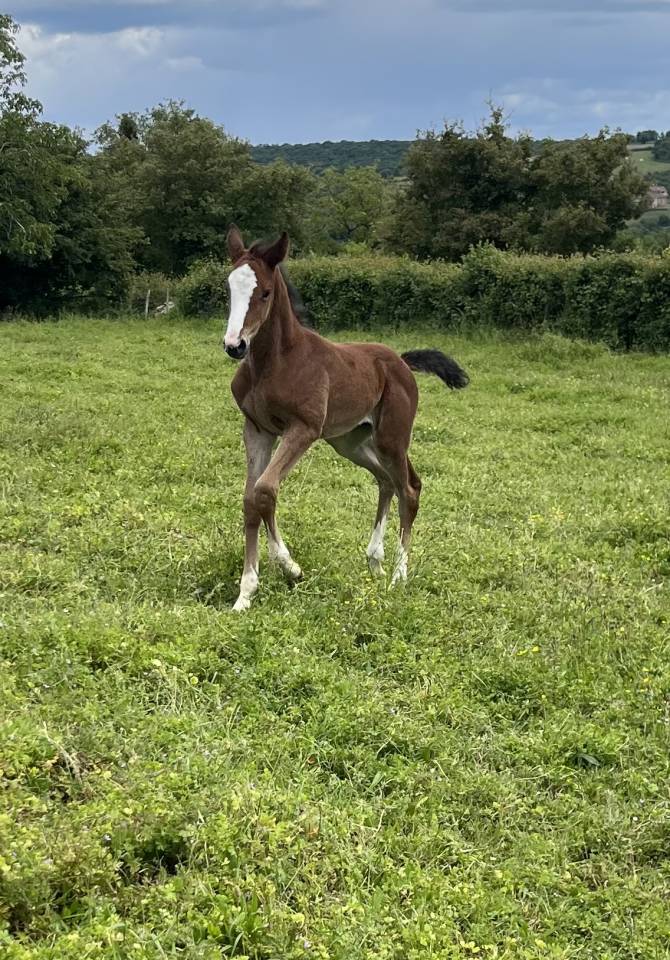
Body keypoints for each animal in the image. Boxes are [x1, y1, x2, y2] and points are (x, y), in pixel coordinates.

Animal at [223, 225, 469, 611]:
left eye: (264, 293)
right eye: (229, 289)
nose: (235, 345)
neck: (275, 361)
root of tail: (401, 361)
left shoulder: (303, 429)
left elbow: (265, 489)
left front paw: (291, 567)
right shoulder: (258, 429)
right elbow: (251, 498)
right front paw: (245, 594)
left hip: (391, 437)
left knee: (409, 488)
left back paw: (399, 576)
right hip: (350, 441)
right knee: (386, 481)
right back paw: (375, 561)